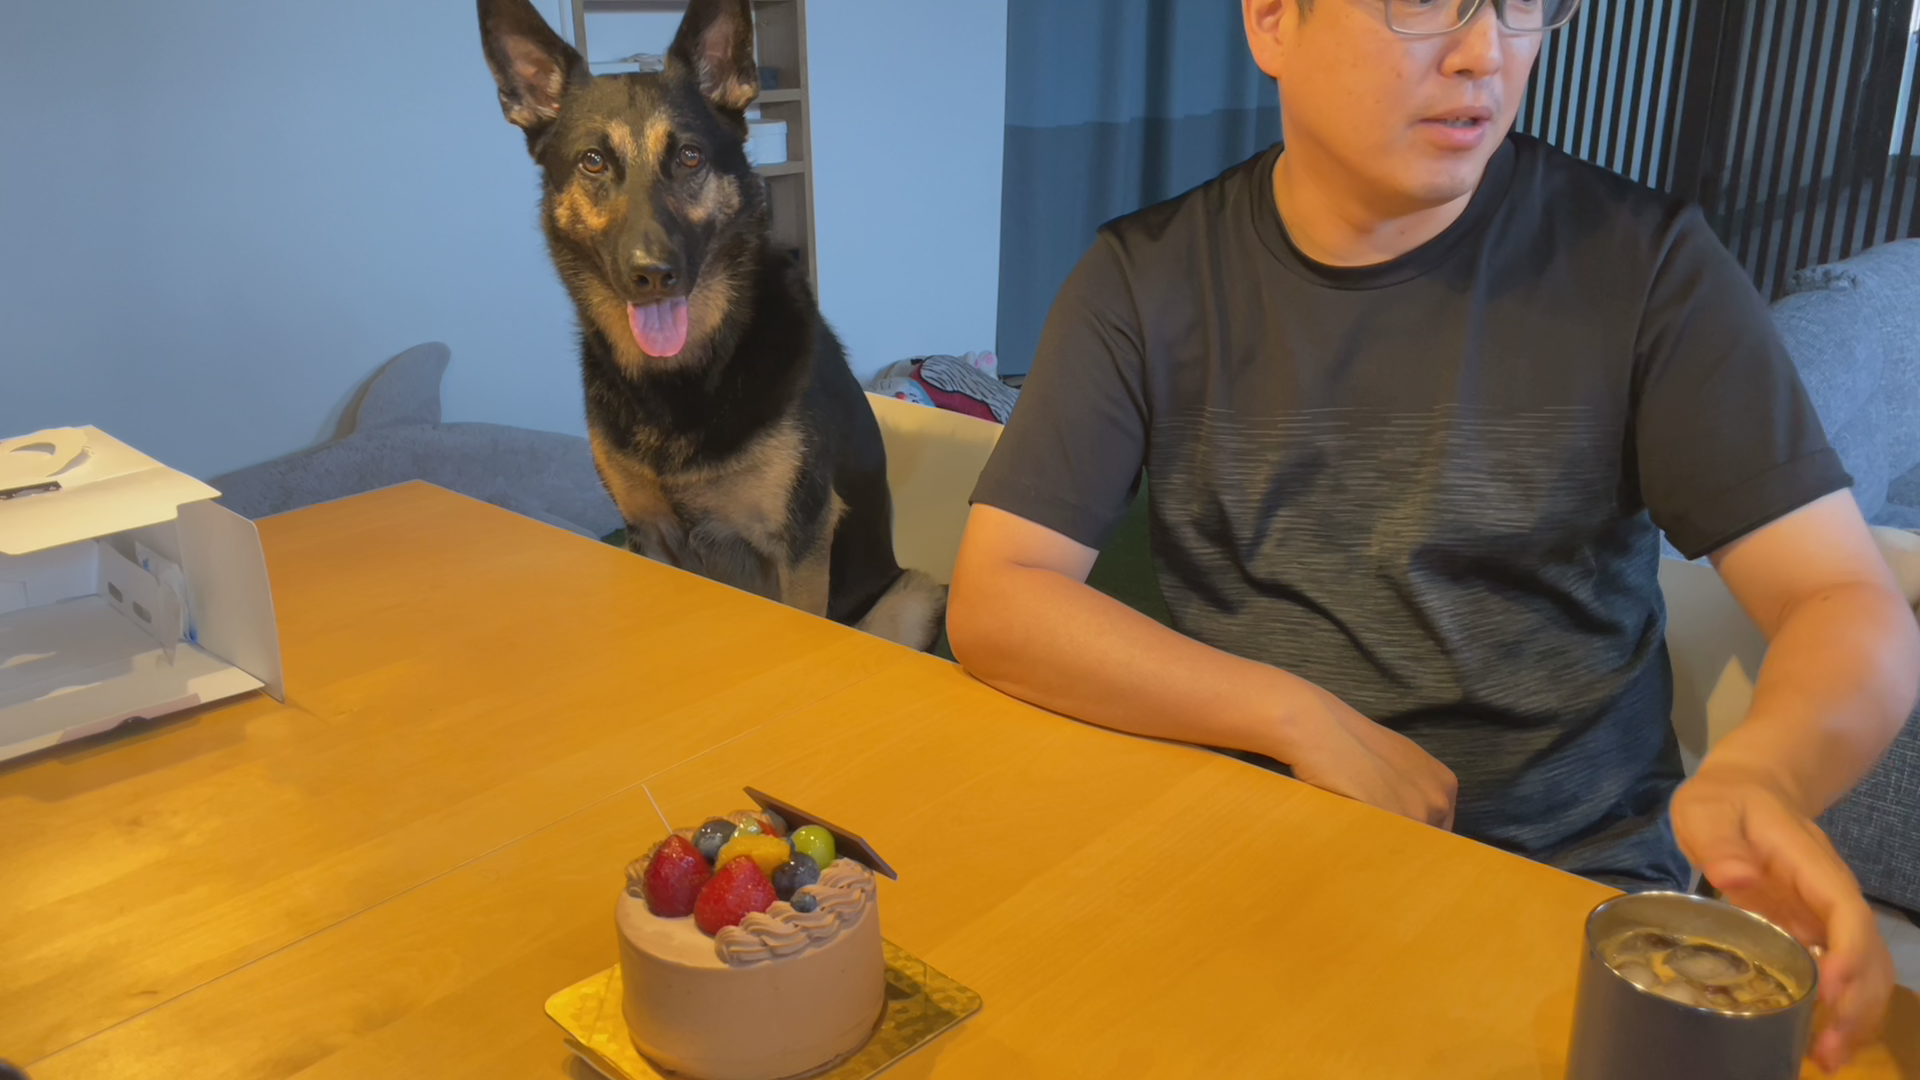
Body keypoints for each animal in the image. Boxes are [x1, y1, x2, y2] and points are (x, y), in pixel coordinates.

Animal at [478, 0, 944, 650]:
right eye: (593, 161)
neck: (685, 376)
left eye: (690, 157)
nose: (652, 274)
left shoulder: (800, 548)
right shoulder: (646, 534)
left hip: (914, 591)